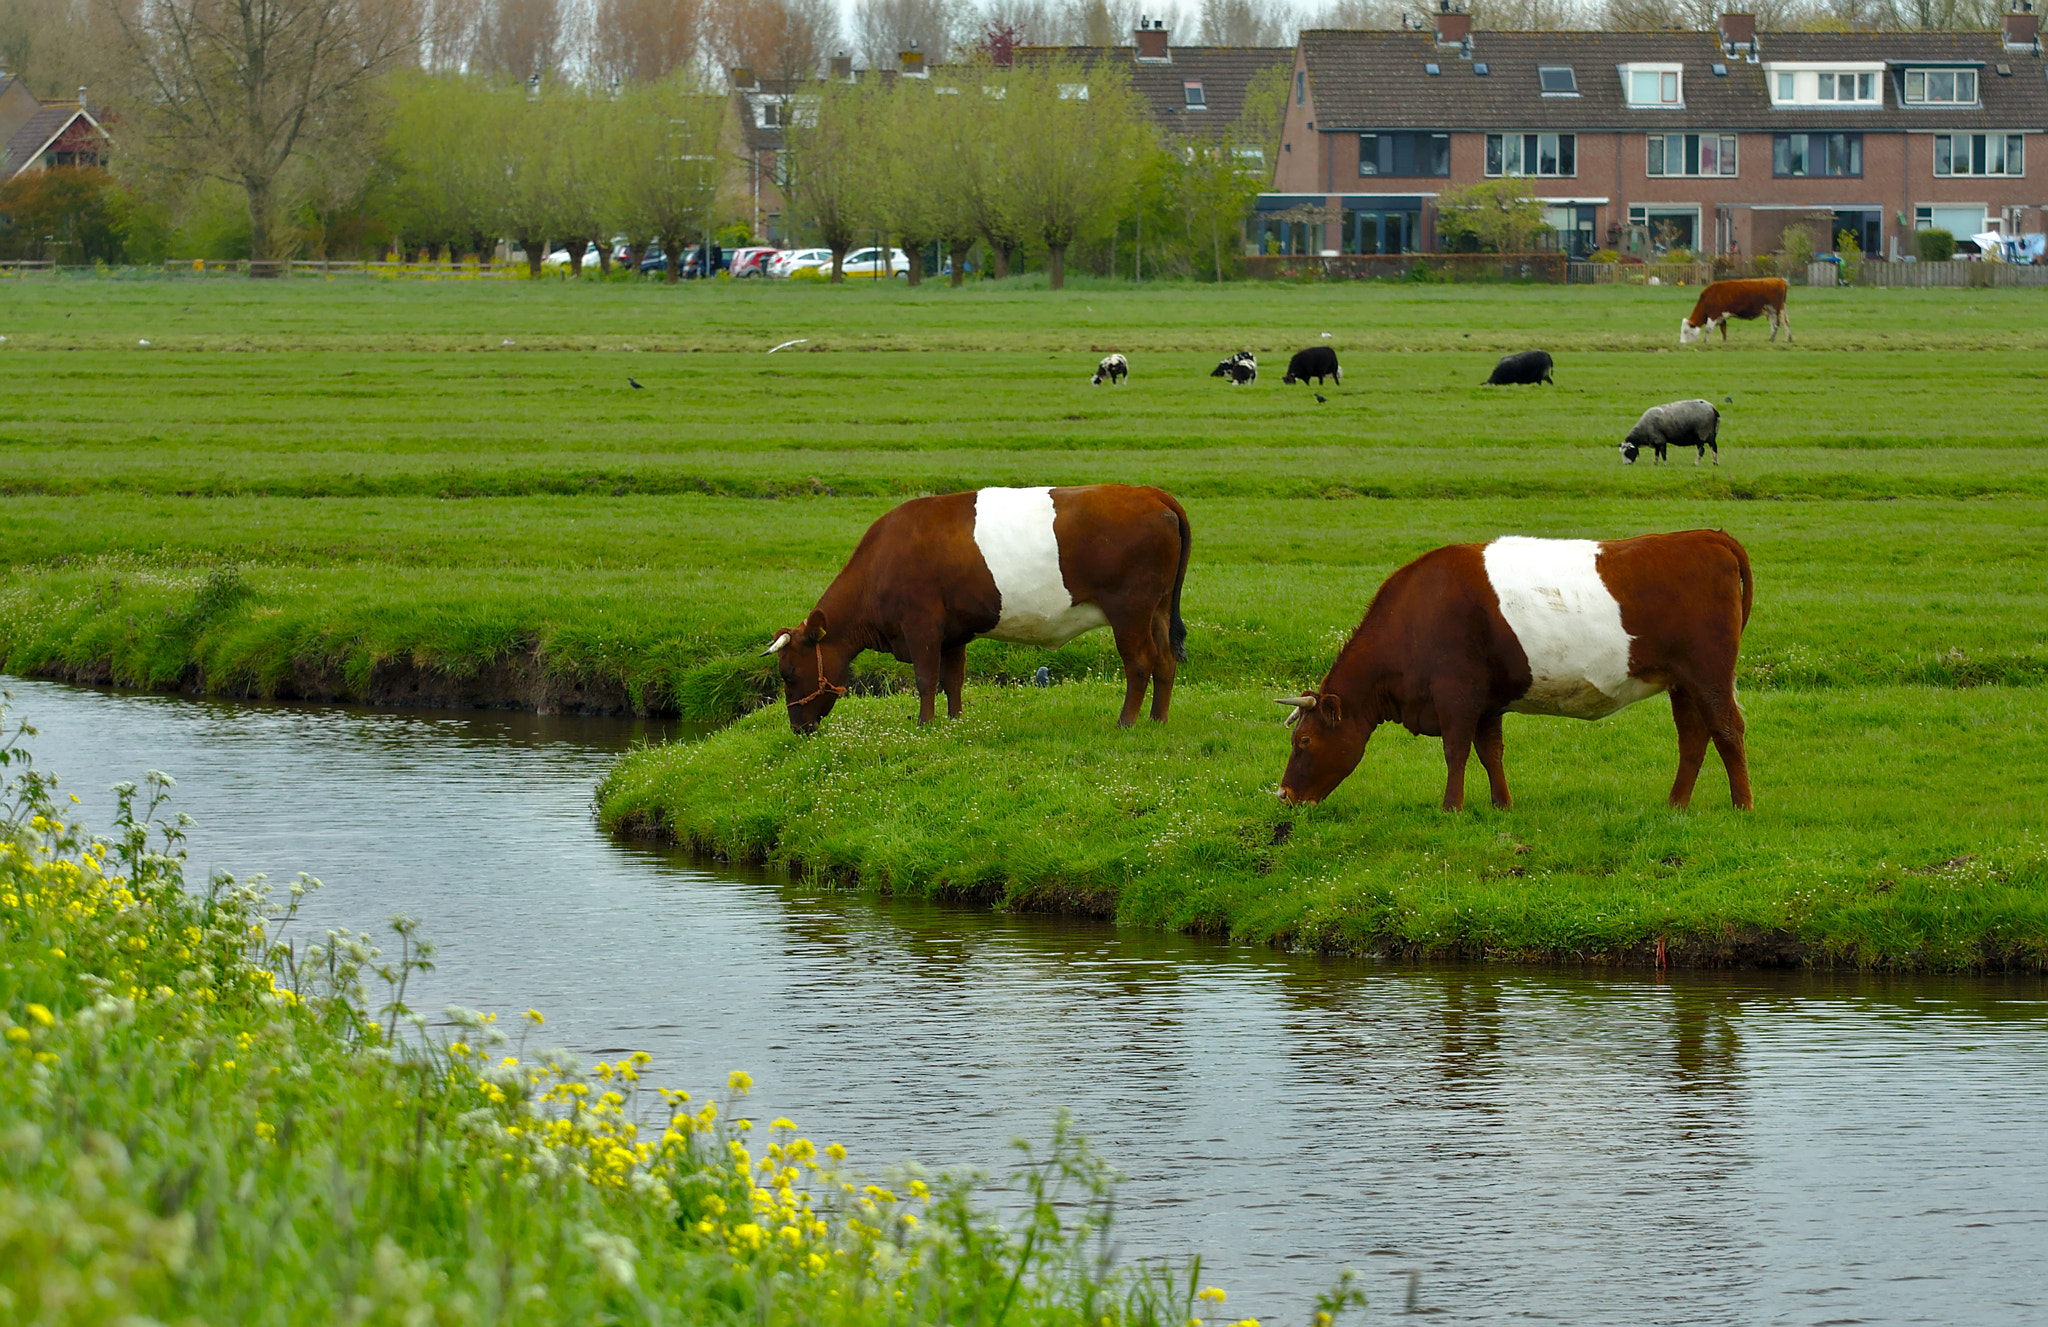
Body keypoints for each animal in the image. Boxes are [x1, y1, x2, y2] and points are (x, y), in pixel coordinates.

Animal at [761, 487, 1196, 729]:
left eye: (787, 673)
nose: (797, 728)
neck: (883, 560)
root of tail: (1150, 492)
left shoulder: (920, 626)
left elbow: (925, 678)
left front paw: (925, 724)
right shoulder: (953, 633)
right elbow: (952, 679)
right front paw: (954, 721)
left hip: (1130, 612)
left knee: (1140, 663)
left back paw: (1126, 723)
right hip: (1157, 610)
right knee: (1165, 661)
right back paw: (1157, 720)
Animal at [1269, 528, 1753, 806]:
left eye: (1305, 741)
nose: (1284, 794)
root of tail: (1708, 535)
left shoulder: (1456, 695)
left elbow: (1456, 751)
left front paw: (1451, 807)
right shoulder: (1486, 702)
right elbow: (1490, 752)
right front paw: (1502, 804)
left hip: (1708, 675)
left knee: (1727, 729)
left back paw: (1742, 804)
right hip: (1681, 682)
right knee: (1693, 737)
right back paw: (1676, 805)